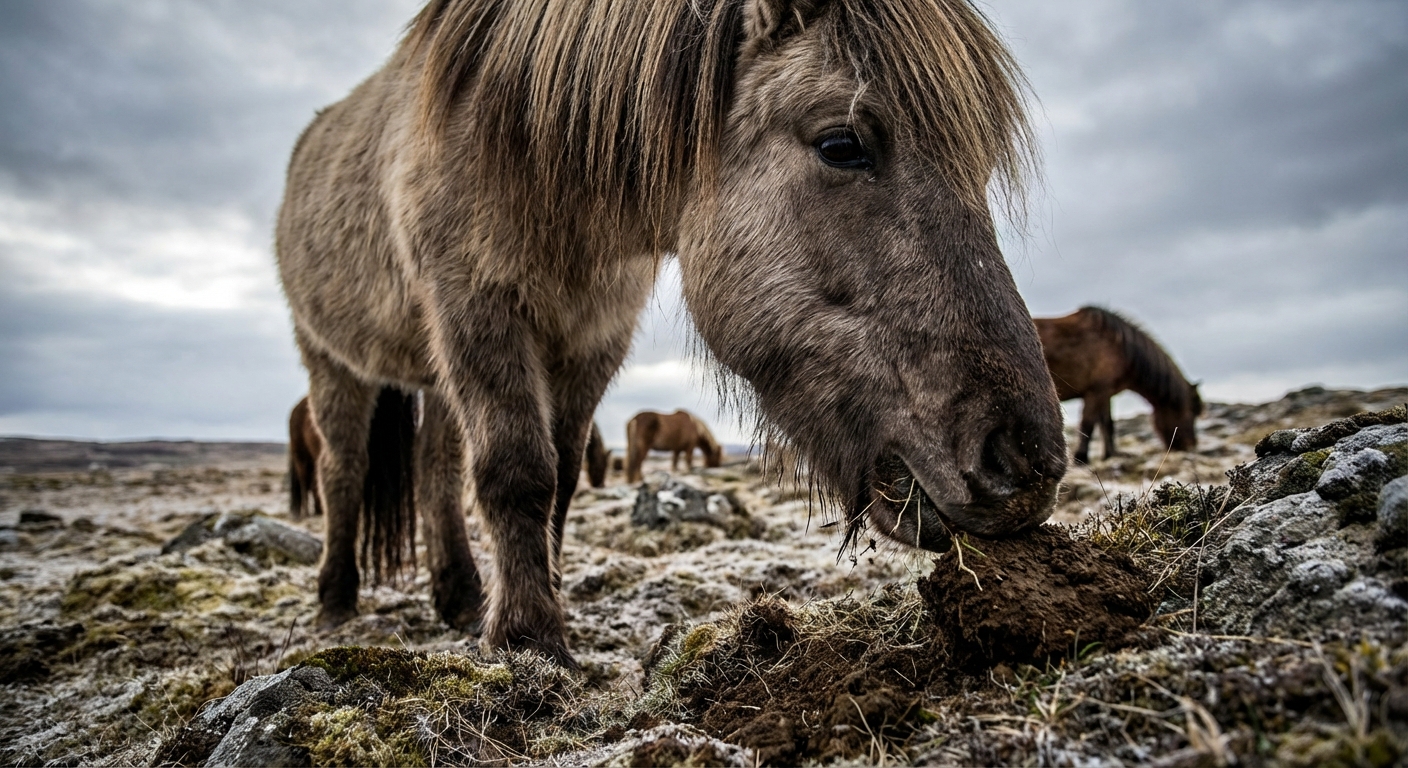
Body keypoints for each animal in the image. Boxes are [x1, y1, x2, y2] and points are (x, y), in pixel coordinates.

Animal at [276, 0, 1068, 666]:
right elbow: (517, 471)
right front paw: (527, 642)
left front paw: (532, 616)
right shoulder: (476, 308)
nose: (1025, 463)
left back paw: (461, 597)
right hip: (333, 361)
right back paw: (337, 600)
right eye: (842, 143)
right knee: (345, 470)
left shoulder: (594, 338)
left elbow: (563, 476)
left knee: (435, 470)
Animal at [1034, 306, 1203, 464]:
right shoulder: (1096, 391)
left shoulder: (1105, 393)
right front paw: (1081, 458)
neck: (1118, 346)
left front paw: (1109, 455)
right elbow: (1088, 424)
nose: (1190, 446)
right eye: (1191, 412)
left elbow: (1107, 424)